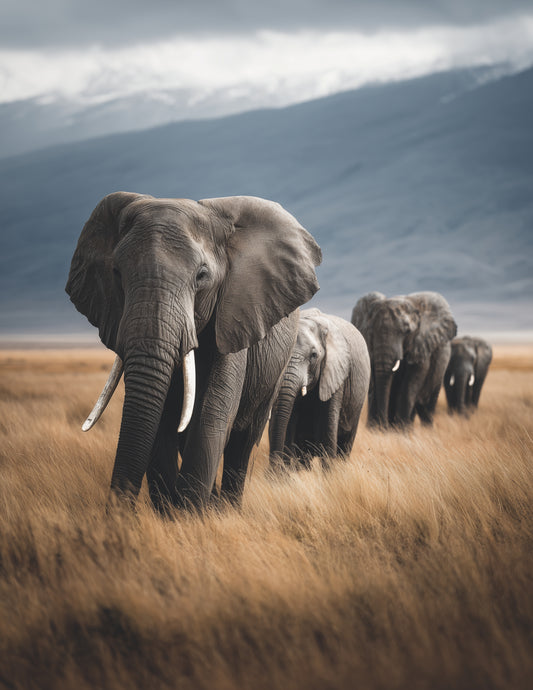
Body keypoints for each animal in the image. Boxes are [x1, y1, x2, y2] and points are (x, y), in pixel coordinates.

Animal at [66, 192, 321, 510]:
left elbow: (211, 416)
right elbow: (160, 423)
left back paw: (227, 508)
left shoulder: (234, 314)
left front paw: (189, 515)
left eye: (201, 275)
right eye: (116, 273)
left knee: (242, 441)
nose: (115, 514)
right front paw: (172, 514)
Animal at [268, 308, 371, 468]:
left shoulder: (336, 371)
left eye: (314, 355)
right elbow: (289, 422)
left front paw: (330, 473)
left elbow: (329, 424)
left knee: (346, 445)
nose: (274, 469)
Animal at [351, 291, 457, 428]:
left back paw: (420, 428)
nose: (382, 426)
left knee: (427, 402)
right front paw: (375, 429)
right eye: (371, 331)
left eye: (407, 331)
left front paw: (400, 429)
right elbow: (374, 382)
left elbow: (412, 382)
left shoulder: (421, 344)